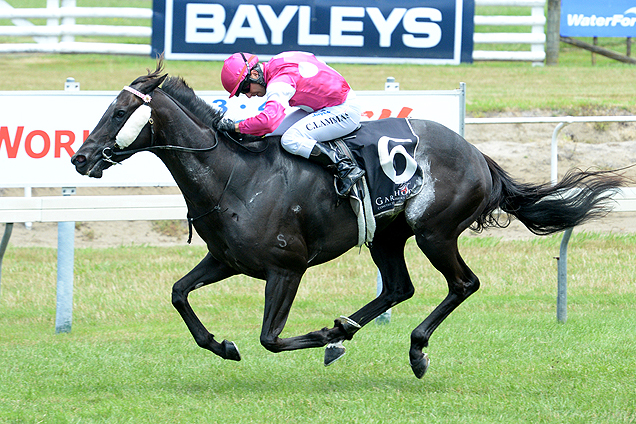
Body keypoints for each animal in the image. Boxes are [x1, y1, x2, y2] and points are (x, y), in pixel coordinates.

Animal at [72, 62, 624, 378]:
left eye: (118, 111)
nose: (80, 158)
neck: (237, 175)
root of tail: (479, 156)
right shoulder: (226, 259)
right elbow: (178, 293)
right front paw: (222, 345)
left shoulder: (286, 267)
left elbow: (270, 337)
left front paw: (321, 337)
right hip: (387, 236)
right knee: (399, 287)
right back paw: (350, 326)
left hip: (434, 231)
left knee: (463, 284)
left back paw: (412, 349)